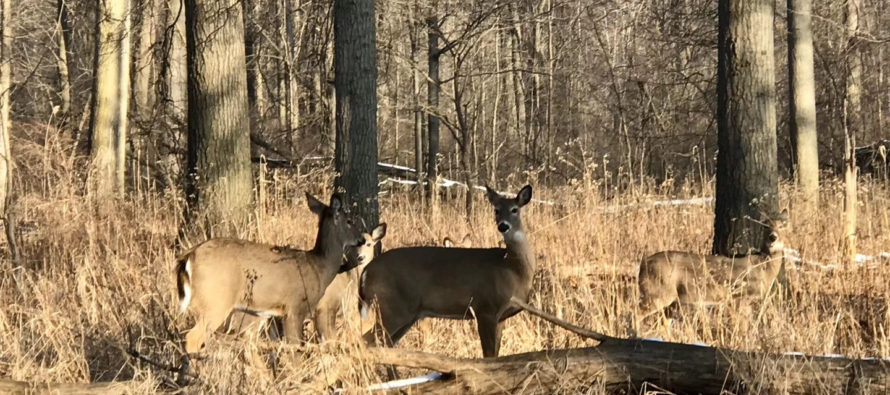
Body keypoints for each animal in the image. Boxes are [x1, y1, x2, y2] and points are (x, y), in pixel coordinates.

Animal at [176, 193, 364, 354]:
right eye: (349, 221)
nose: (362, 239)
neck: (320, 267)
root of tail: (189, 256)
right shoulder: (295, 306)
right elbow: (295, 346)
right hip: (216, 301)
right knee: (193, 337)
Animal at [356, 186, 536, 358]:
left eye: (515, 209)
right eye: (496, 210)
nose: (503, 226)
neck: (511, 268)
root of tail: (367, 270)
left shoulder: (501, 317)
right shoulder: (485, 308)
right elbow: (489, 355)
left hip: (407, 314)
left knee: (384, 344)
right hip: (393, 307)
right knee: (366, 341)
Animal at [636, 213, 788, 322]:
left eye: (782, 226)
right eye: (766, 226)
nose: (773, 237)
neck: (763, 268)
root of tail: (643, 264)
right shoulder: (741, 297)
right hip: (659, 292)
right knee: (636, 313)